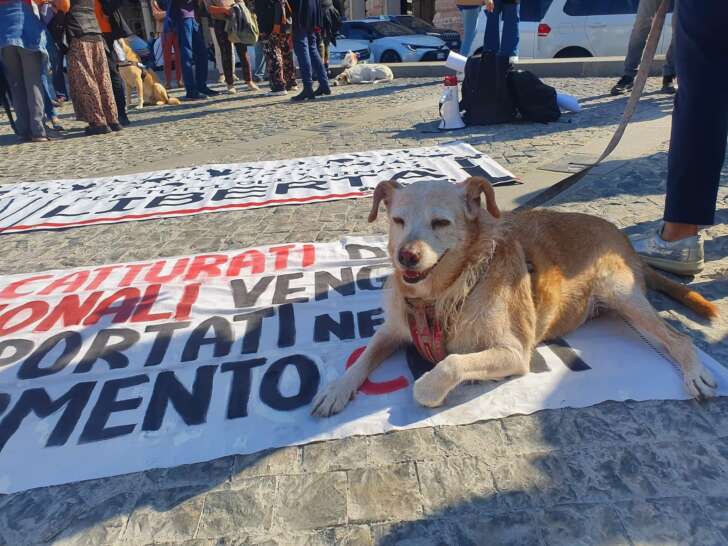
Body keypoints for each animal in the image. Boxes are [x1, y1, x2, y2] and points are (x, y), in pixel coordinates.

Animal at [310, 176, 720, 414]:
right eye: (397, 221)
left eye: (440, 222)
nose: (405, 256)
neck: (443, 293)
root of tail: (623, 239)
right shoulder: (393, 330)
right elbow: (363, 357)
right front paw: (336, 388)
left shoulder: (513, 352)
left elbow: (451, 363)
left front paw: (428, 387)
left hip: (623, 296)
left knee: (679, 339)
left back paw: (695, 371)